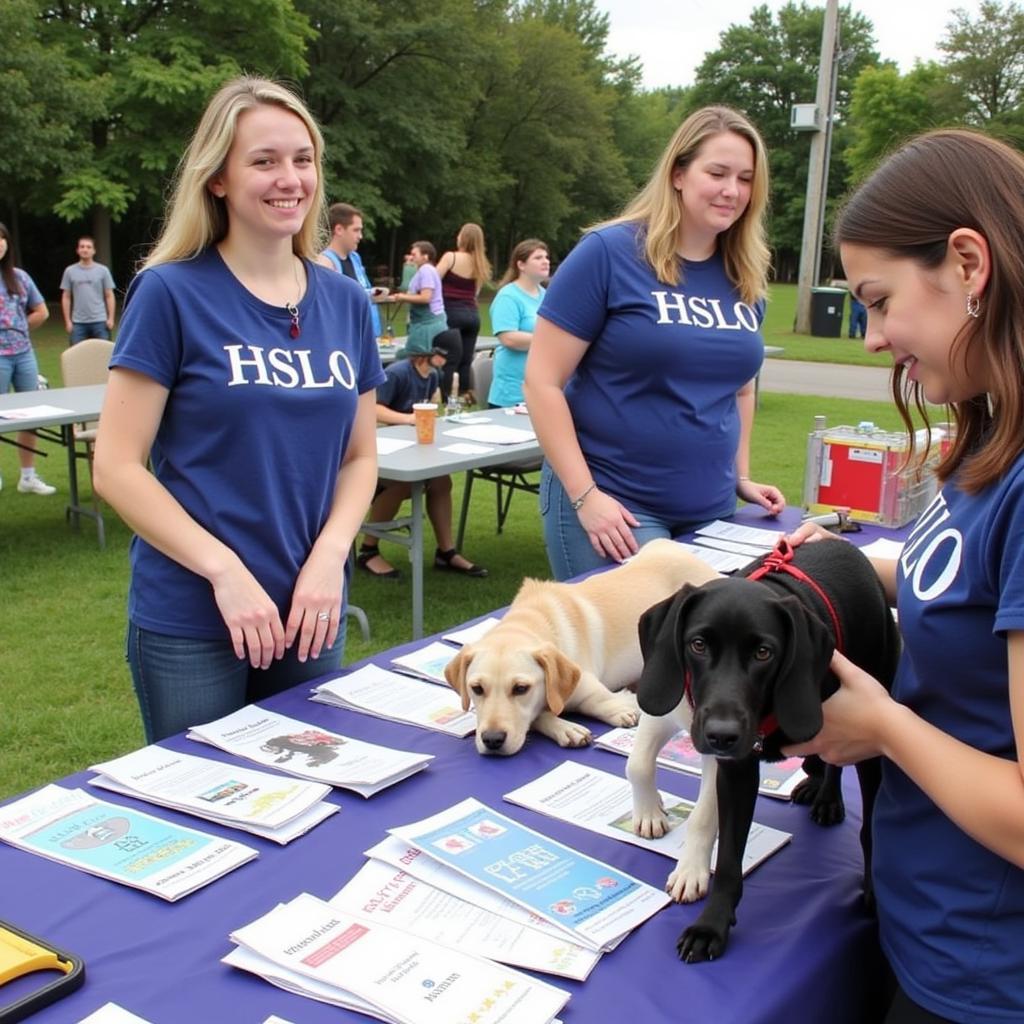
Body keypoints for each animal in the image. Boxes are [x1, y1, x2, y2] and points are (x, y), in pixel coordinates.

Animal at [442, 540, 720, 757]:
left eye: (521, 688)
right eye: (477, 689)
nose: (492, 740)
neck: (533, 621)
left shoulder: (587, 685)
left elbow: (594, 701)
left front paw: (620, 709)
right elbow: (539, 714)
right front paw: (564, 727)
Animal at [626, 540, 901, 962]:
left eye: (763, 653)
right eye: (698, 644)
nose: (722, 735)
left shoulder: (868, 741)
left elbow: (871, 829)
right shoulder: (733, 768)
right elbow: (725, 859)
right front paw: (712, 924)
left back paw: (828, 798)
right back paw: (821, 791)